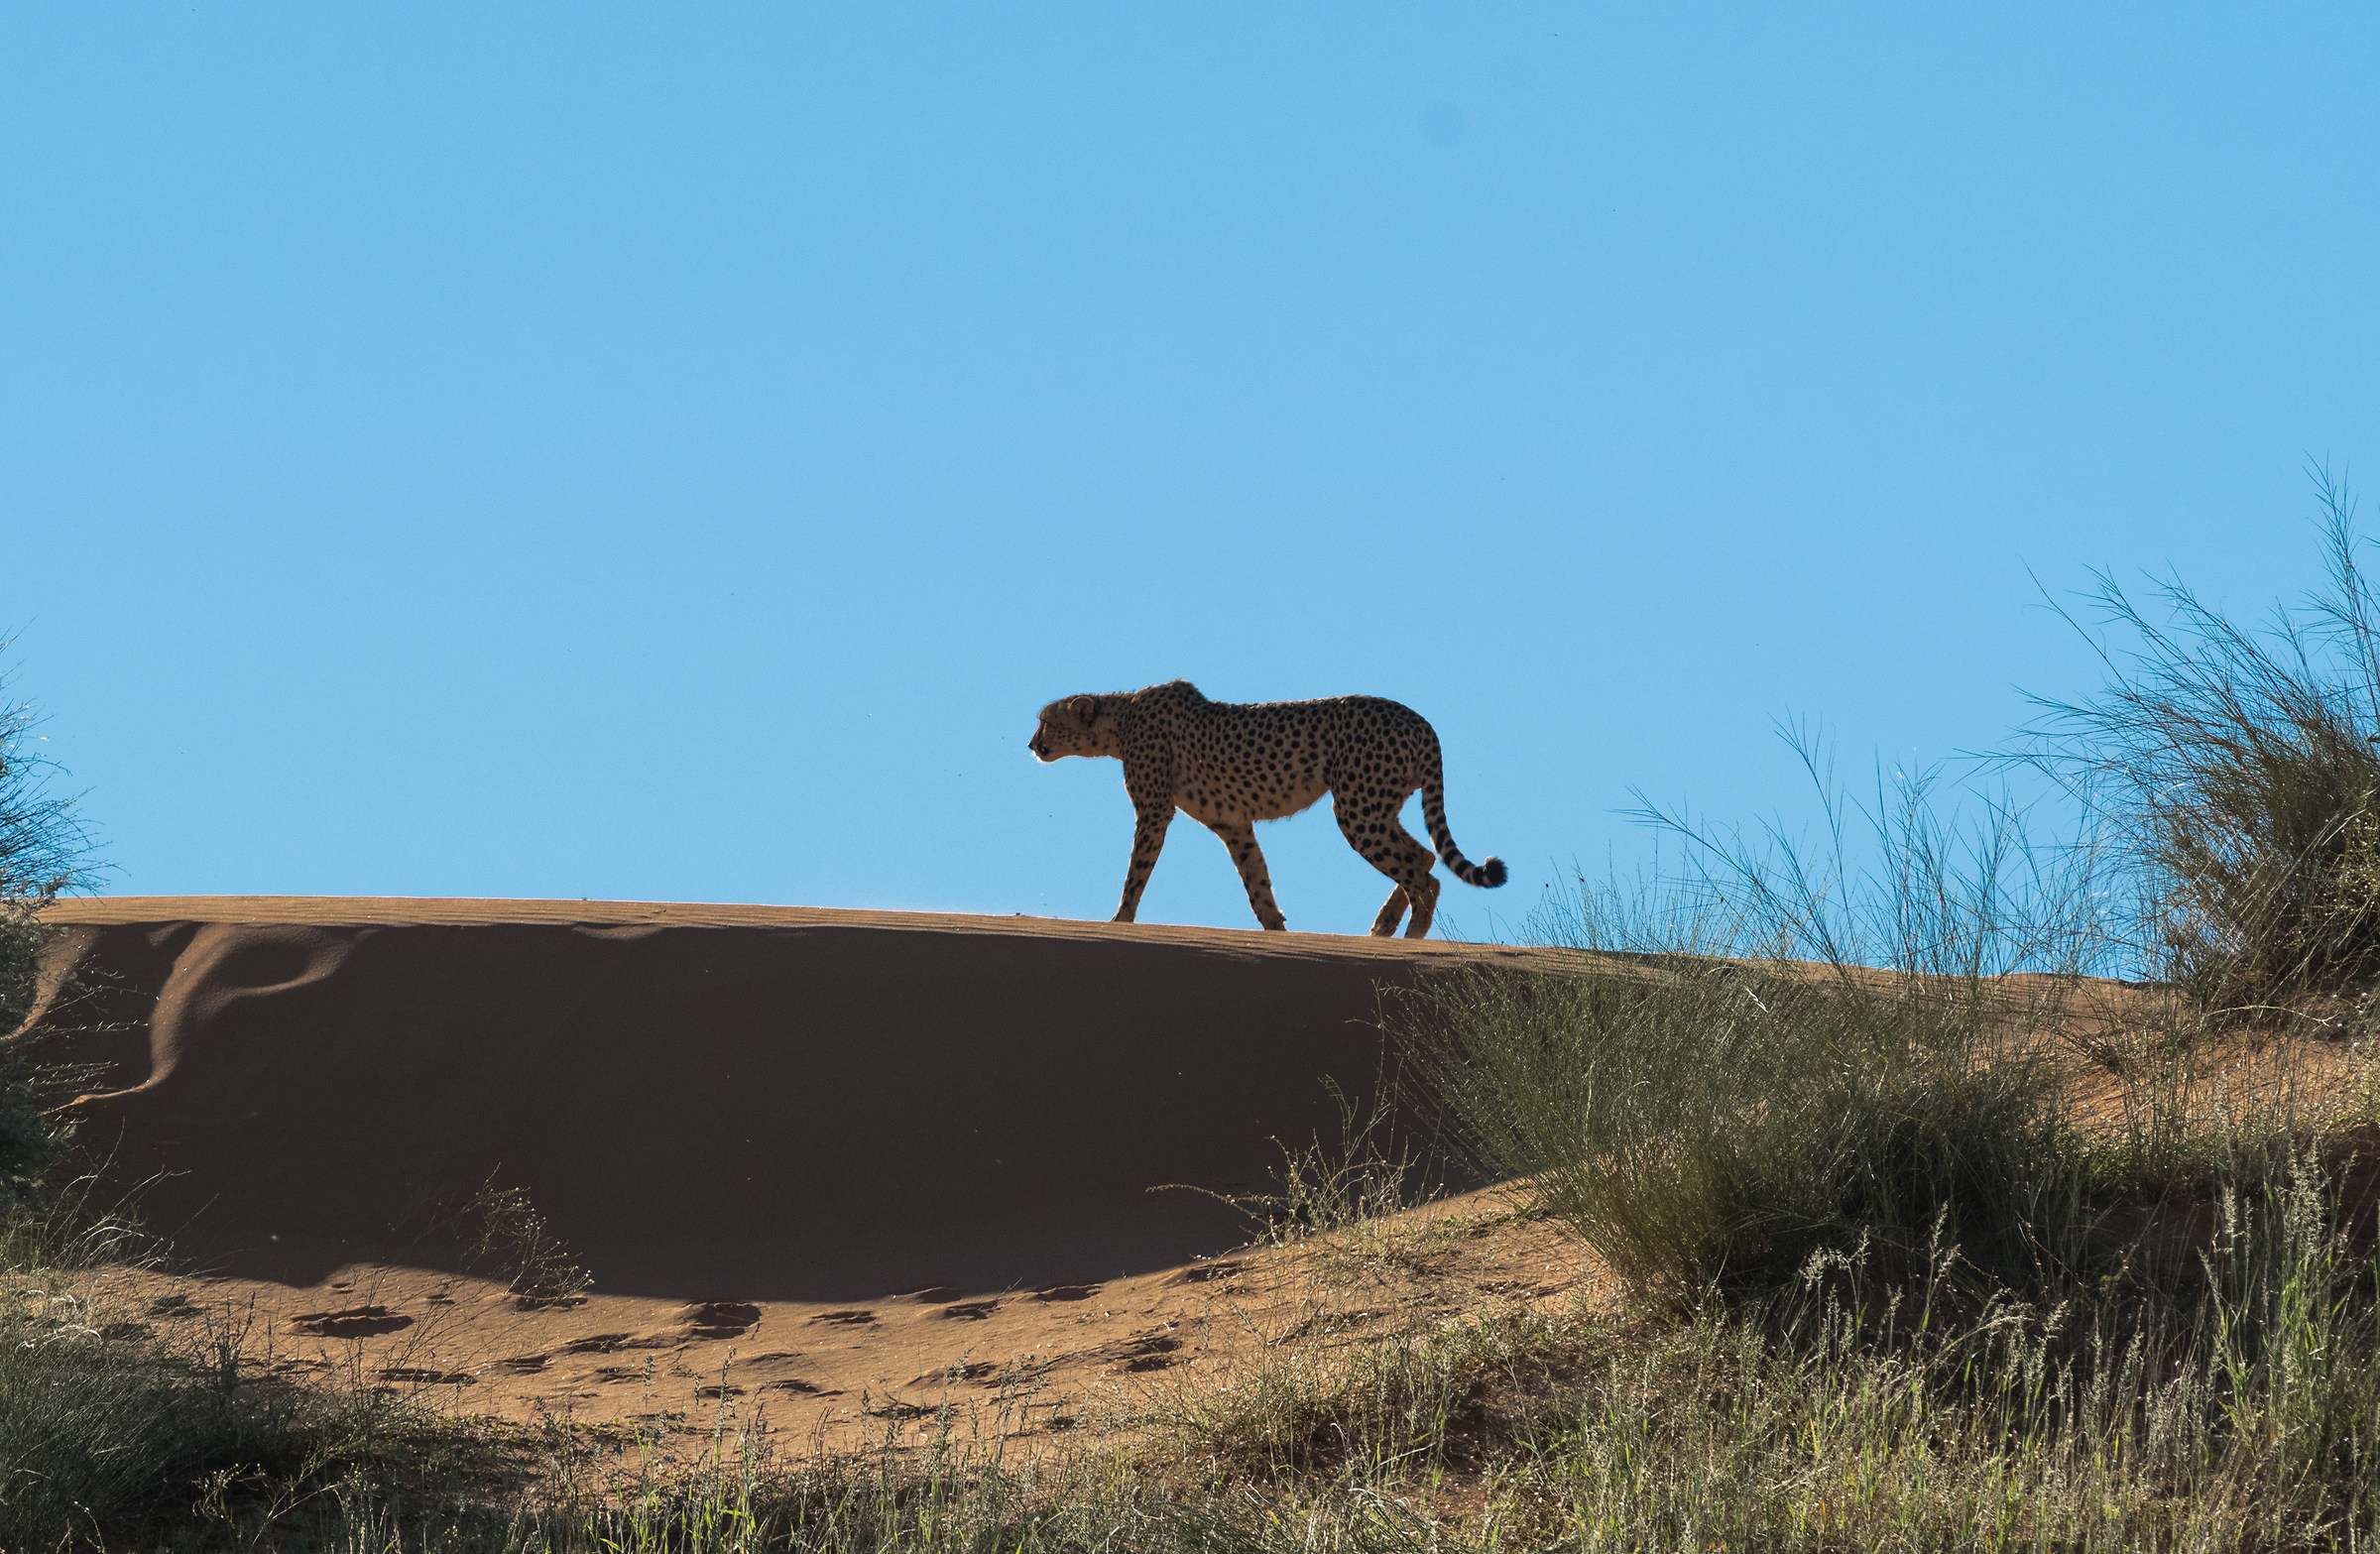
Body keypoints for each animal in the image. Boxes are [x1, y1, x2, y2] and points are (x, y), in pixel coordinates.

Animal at [1028, 679, 1506, 939]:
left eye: (1046, 722)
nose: (1031, 744)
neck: (1120, 718)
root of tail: (1421, 721)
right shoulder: (1233, 824)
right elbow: (1257, 885)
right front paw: (1279, 932)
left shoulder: (1154, 811)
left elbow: (1136, 873)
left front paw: (1119, 920)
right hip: (1376, 805)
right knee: (1423, 857)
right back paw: (1385, 927)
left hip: (1357, 809)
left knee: (1424, 877)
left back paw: (1410, 940)